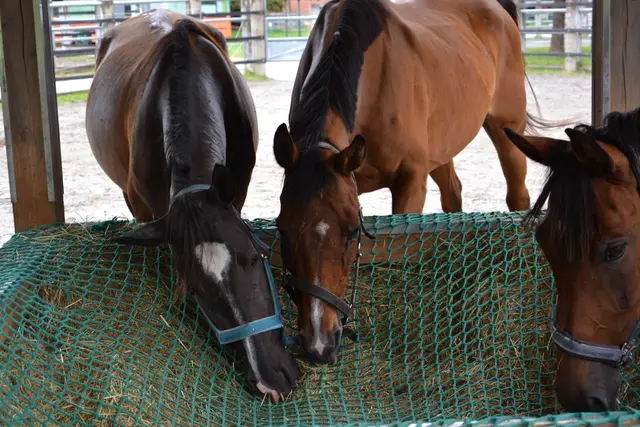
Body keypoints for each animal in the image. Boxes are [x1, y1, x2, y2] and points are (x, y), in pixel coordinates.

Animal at [272, 0, 565, 363]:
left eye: (353, 231)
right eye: (283, 229)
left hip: (507, 130)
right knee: (453, 196)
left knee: (517, 196)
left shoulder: (410, 182)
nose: (319, 343)